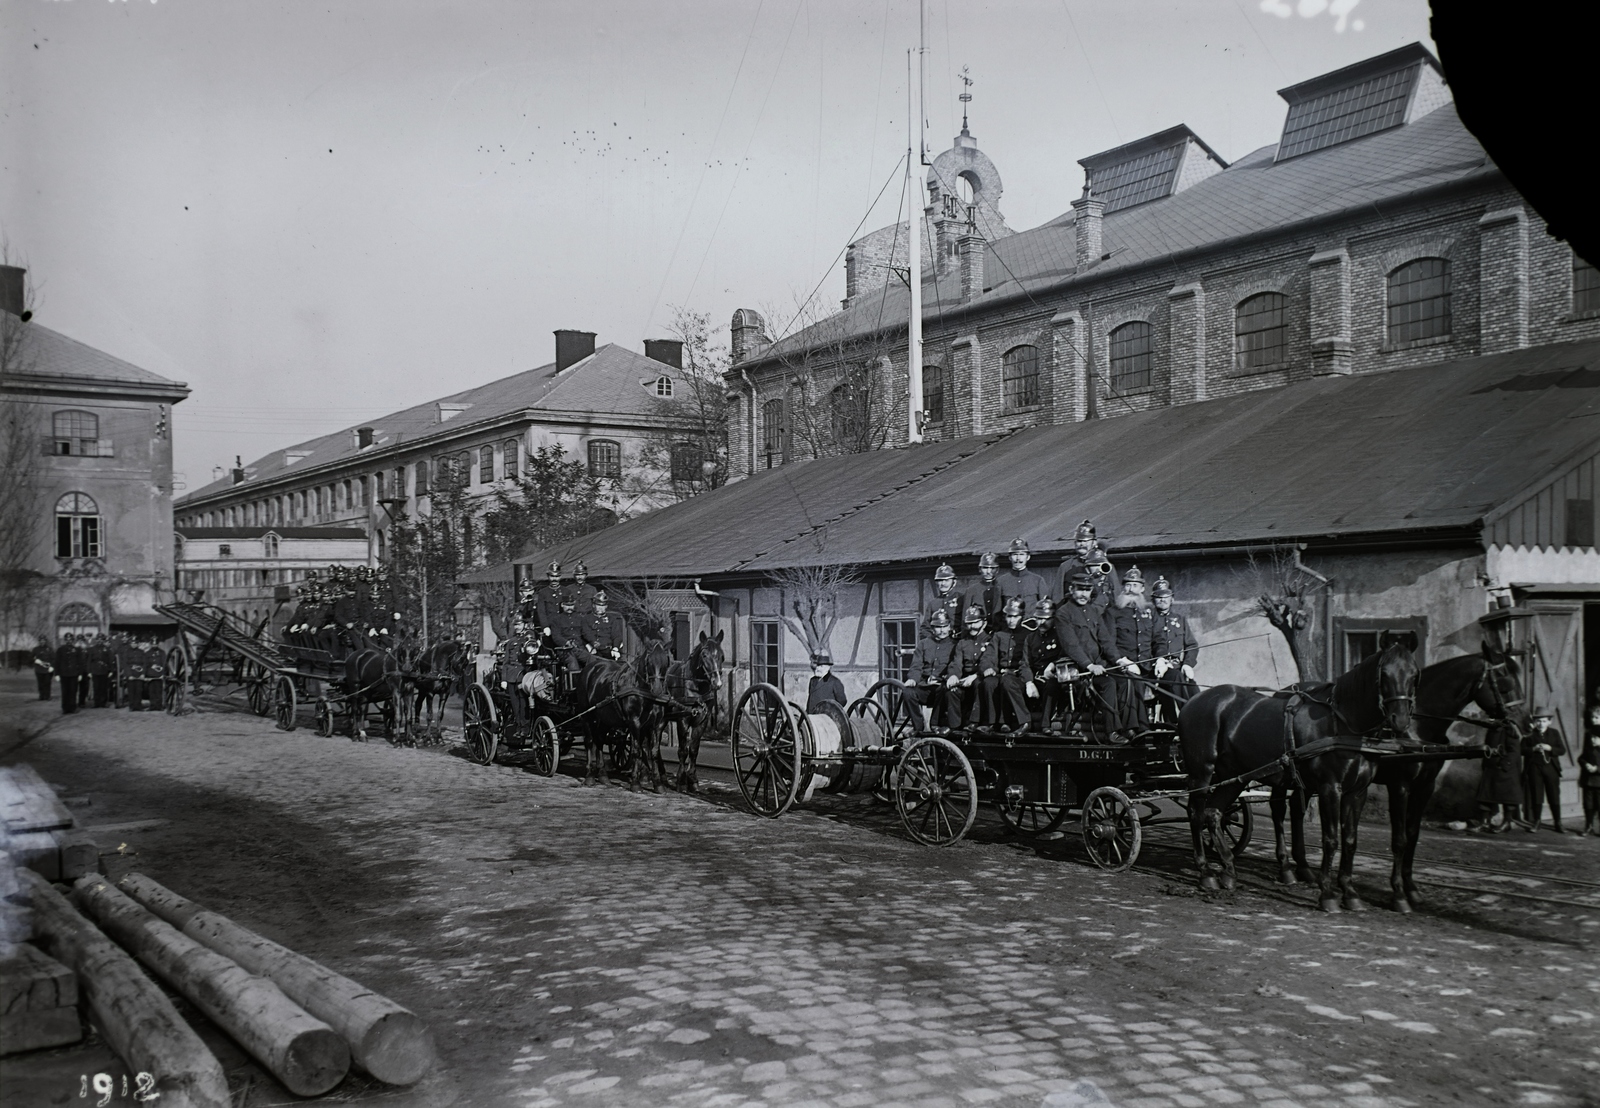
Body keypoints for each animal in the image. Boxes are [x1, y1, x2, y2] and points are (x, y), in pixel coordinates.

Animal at [1177, 643, 1414, 915]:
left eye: (1414, 674)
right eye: (1384, 674)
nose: (1400, 720)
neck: (1342, 722)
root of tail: (1193, 701)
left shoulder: (1358, 792)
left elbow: (1350, 840)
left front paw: (1350, 892)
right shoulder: (1330, 788)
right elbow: (1331, 839)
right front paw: (1328, 893)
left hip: (1232, 776)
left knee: (1214, 813)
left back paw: (1228, 869)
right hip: (1202, 773)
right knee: (1196, 814)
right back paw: (1205, 871)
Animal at [1273, 643, 1523, 915]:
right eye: (1504, 680)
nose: (1520, 724)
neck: (1417, 726)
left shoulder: (1424, 787)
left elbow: (1412, 836)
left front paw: (1411, 889)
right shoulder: (1400, 786)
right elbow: (1400, 839)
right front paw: (1399, 894)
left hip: (1305, 779)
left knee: (1295, 810)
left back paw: (1303, 867)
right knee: (1278, 811)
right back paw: (1285, 868)